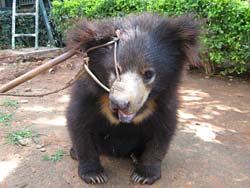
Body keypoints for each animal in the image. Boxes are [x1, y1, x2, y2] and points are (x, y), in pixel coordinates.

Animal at [66, 13, 199, 185]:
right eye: (116, 70)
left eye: (148, 74)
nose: (120, 104)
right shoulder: (87, 93)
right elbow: (79, 123)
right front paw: (94, 175)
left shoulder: (165, 100)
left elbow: (162, 131)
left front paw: (144, 175)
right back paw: (74, 152)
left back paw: (136, 156)